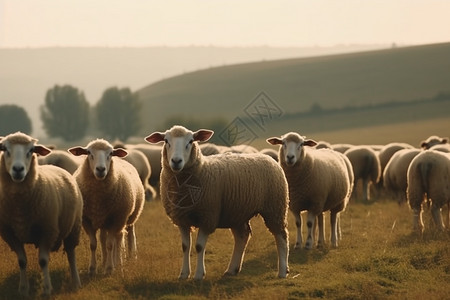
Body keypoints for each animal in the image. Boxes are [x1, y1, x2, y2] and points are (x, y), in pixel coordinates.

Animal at [0, 132, 83, 296]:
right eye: (5, 149)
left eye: (31, 150)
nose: (18, 169)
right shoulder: (10, 234)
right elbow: (22, 261)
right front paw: (23, 290)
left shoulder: (47, 230)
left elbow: (43, 261)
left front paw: (46, 289)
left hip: (74, 227)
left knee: (71, 254)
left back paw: (76, 282)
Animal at [68, 138, 144, 274]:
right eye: (89, 153)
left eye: (111, 153)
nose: (100, 169)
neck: (98, 199)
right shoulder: (87, 220)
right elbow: (94, 244)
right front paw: (93, 268)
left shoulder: (116, 219)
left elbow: (110, 244)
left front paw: (109, 268)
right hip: (105, 220)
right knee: (105, 238)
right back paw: (107, 261)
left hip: (128, 217)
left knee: (126, 236)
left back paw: (126, 259)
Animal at [146, 125, 290, 280]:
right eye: (166, 141)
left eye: (191, 141)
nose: (176, 161)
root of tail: (268, 157)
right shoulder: (181, 219)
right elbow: (185, 246)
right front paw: (184, 274)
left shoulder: (207, 216)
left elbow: (199, 246)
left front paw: (199, 275)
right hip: (237, 212)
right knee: (242, 236)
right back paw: (232, 269)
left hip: (275, 207)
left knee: (281, 236)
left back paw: (282, 271)